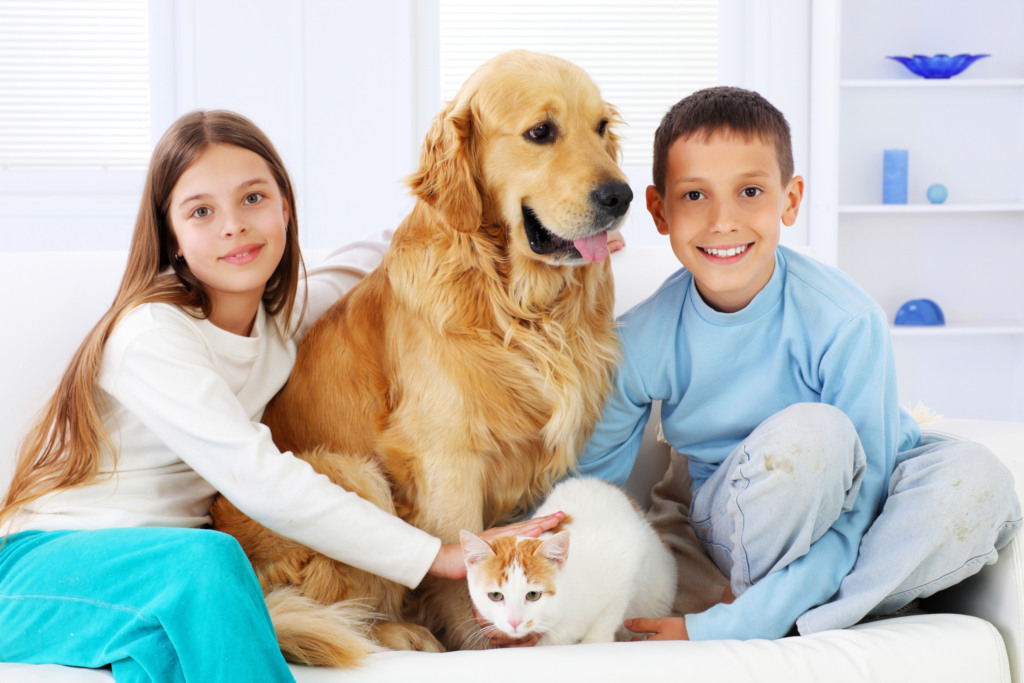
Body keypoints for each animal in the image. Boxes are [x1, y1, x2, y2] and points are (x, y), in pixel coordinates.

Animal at [214, 49, 630, 667]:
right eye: (541, 132)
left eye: (601, 127)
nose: (621, 196)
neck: (517, 307)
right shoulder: (446, 457)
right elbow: (465, 561)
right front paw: (480, 644)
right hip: (350, 474)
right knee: (332, 611)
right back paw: (397, 634)